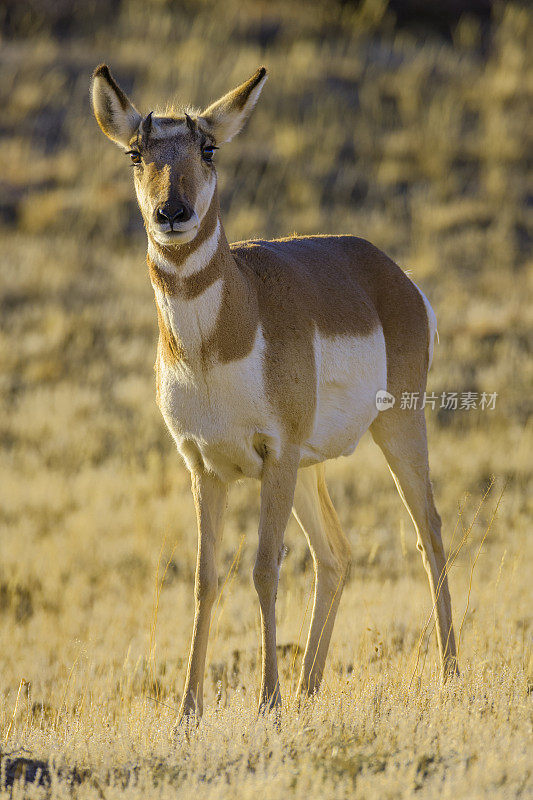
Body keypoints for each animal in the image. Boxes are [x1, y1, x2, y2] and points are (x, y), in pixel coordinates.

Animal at [91, 65, 458, 716]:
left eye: (208, 147)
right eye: (136, 153)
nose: (172, 212)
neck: (215, 344)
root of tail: (392, 273)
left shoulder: (274, 456)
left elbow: (264, 569)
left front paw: (268, 701)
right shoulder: (204, 466)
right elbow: (204, 578)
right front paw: (188, 711)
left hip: (393, 429)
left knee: (429, 534)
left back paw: (447, 676)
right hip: (309, 469)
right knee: (336, 555)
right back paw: (310, 689)